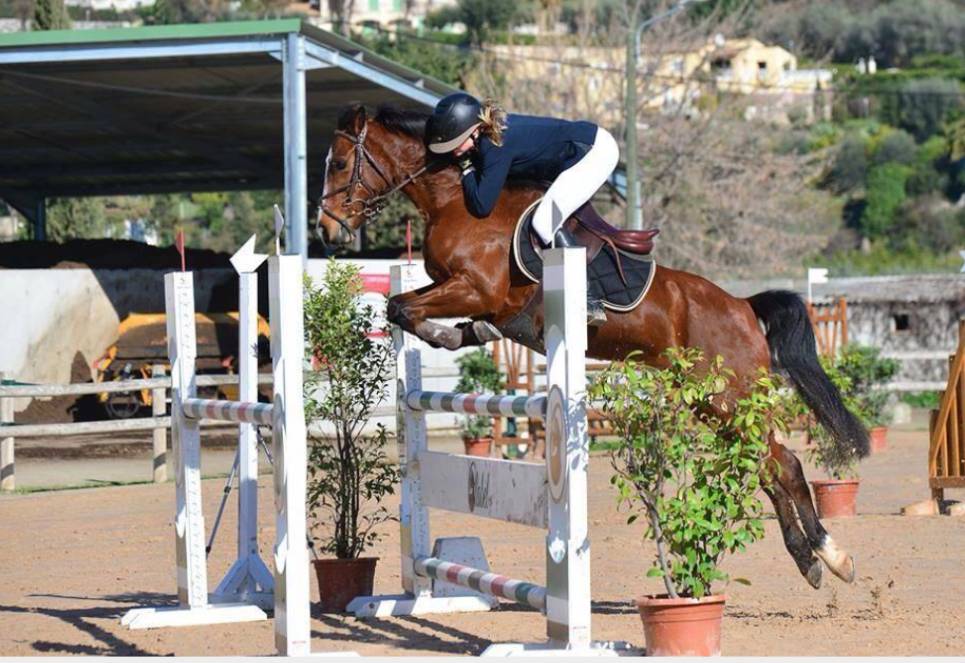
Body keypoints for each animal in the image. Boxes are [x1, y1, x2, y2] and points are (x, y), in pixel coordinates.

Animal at [317, 104, 869, 591]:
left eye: (339, 164)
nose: (326, 228)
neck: (456, 198)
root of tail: (743, 306)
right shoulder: (472, 296)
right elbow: (406, 306)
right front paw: (463, 335)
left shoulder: (477, 288)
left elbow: (403, 308)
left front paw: (443, 335)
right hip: (713, 403)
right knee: (767, 466)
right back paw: (810, 560)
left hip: (726, 399)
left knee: (783, 463)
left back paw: (833, 556)